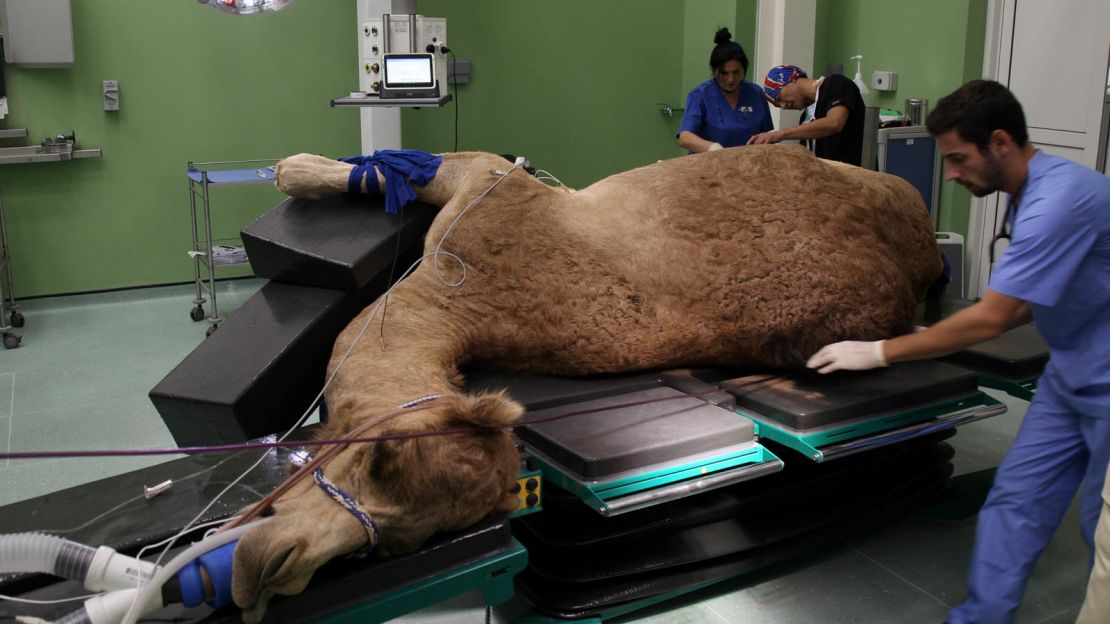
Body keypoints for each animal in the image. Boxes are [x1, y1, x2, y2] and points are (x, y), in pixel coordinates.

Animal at [229, 144, 941, 617]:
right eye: (377, 458)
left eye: (401, 538)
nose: (267, 572)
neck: (458, 307)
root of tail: (924, 256)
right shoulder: (491, 189)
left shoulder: (491, 192)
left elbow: (414, 165)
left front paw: (291, 167)